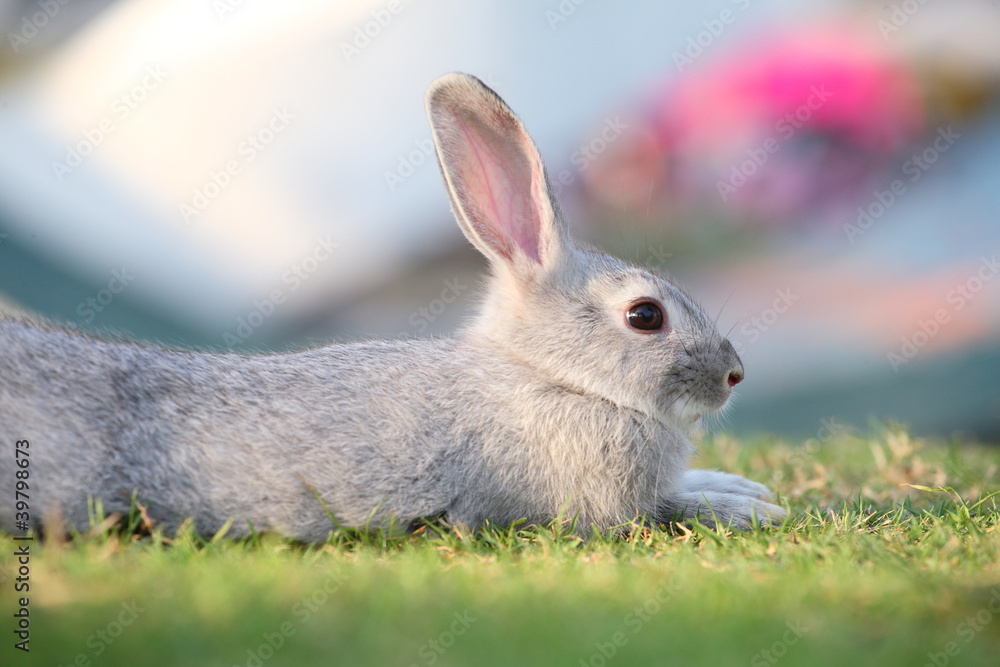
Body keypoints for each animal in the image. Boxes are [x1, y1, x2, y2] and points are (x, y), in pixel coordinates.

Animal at [0, 73, 785, 542]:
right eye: (645, 316)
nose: (735, 375)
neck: (550, 376)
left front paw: (736, 483)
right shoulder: (600, 502)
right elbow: (665, 509)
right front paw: (746, 506)